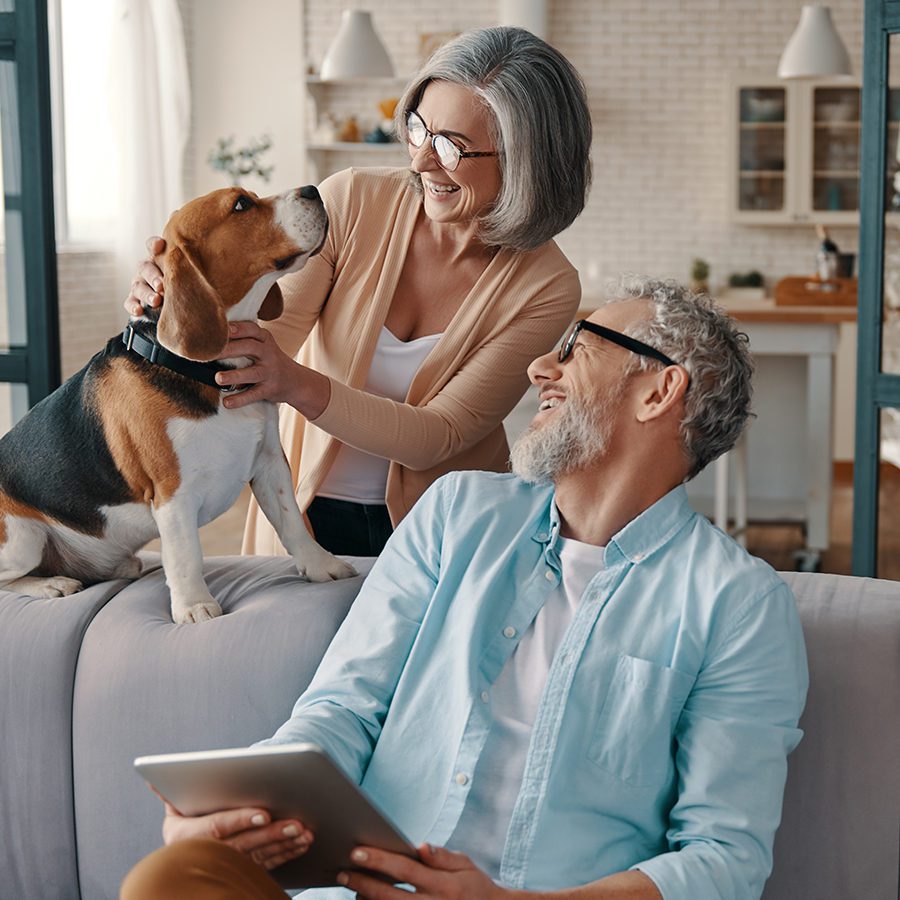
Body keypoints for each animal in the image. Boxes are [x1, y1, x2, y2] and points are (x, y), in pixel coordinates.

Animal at [0, 186, 356, 624]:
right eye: (241, 204)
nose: (313, 190)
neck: (206, 370)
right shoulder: (173, 494)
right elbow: (187, 555)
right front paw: (195, 606)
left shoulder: (271, 462)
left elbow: (291, 523)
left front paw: (322, 566)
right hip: (22, 539)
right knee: (11, 578)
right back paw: (52, 584)